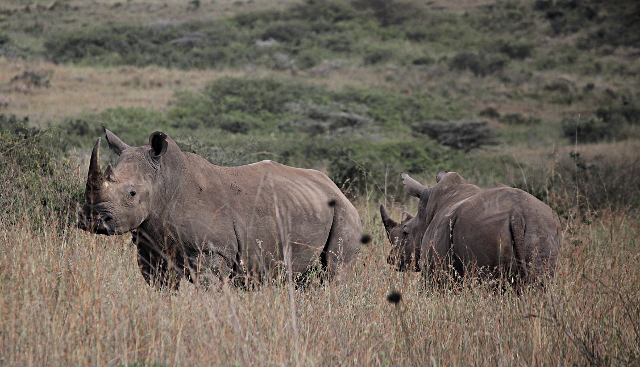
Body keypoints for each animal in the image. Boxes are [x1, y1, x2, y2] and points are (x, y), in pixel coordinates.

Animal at [77, 129, 362, 290]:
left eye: (132, 194)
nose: (93, 219)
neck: (164, 182)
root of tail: (334, 187)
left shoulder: (212, 252)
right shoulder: (150, 245)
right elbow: (161, 287)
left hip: (345, 213)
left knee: (334, 271)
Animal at [380, 172, 560, 288]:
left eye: (405, 233)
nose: (391, 259)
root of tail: (518, 214)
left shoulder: (435, 272)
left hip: (481, 230)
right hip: (542, 224)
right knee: (540, 282)